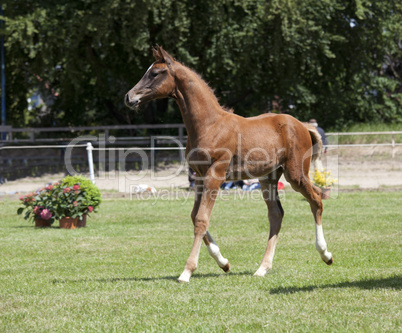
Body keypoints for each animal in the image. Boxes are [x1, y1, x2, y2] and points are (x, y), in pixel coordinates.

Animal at [125, 45, 332, 282]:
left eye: (155, 73)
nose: (129, 97)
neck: (209, 125)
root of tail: (302, 126)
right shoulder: (199, 177)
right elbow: (194, 216)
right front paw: (223, 262)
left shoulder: (215, 175)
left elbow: (201, 220)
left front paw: (187, 271)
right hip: (268, 178)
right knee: (276, 214)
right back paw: (262, 268)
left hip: (295, 174)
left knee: (316, 200)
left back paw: (326, 254)